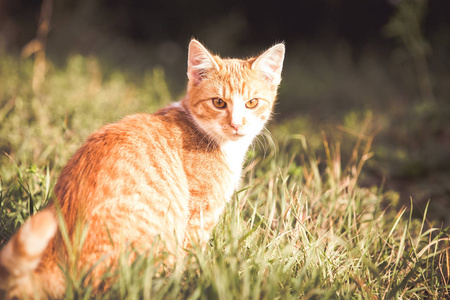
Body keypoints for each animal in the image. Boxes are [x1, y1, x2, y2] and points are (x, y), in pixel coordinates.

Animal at [0, 38, 284, 298]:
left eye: (252, 103)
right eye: (218, 103)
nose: (236, 124)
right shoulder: (198, 215)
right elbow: (193, 255)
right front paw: (196, 280)